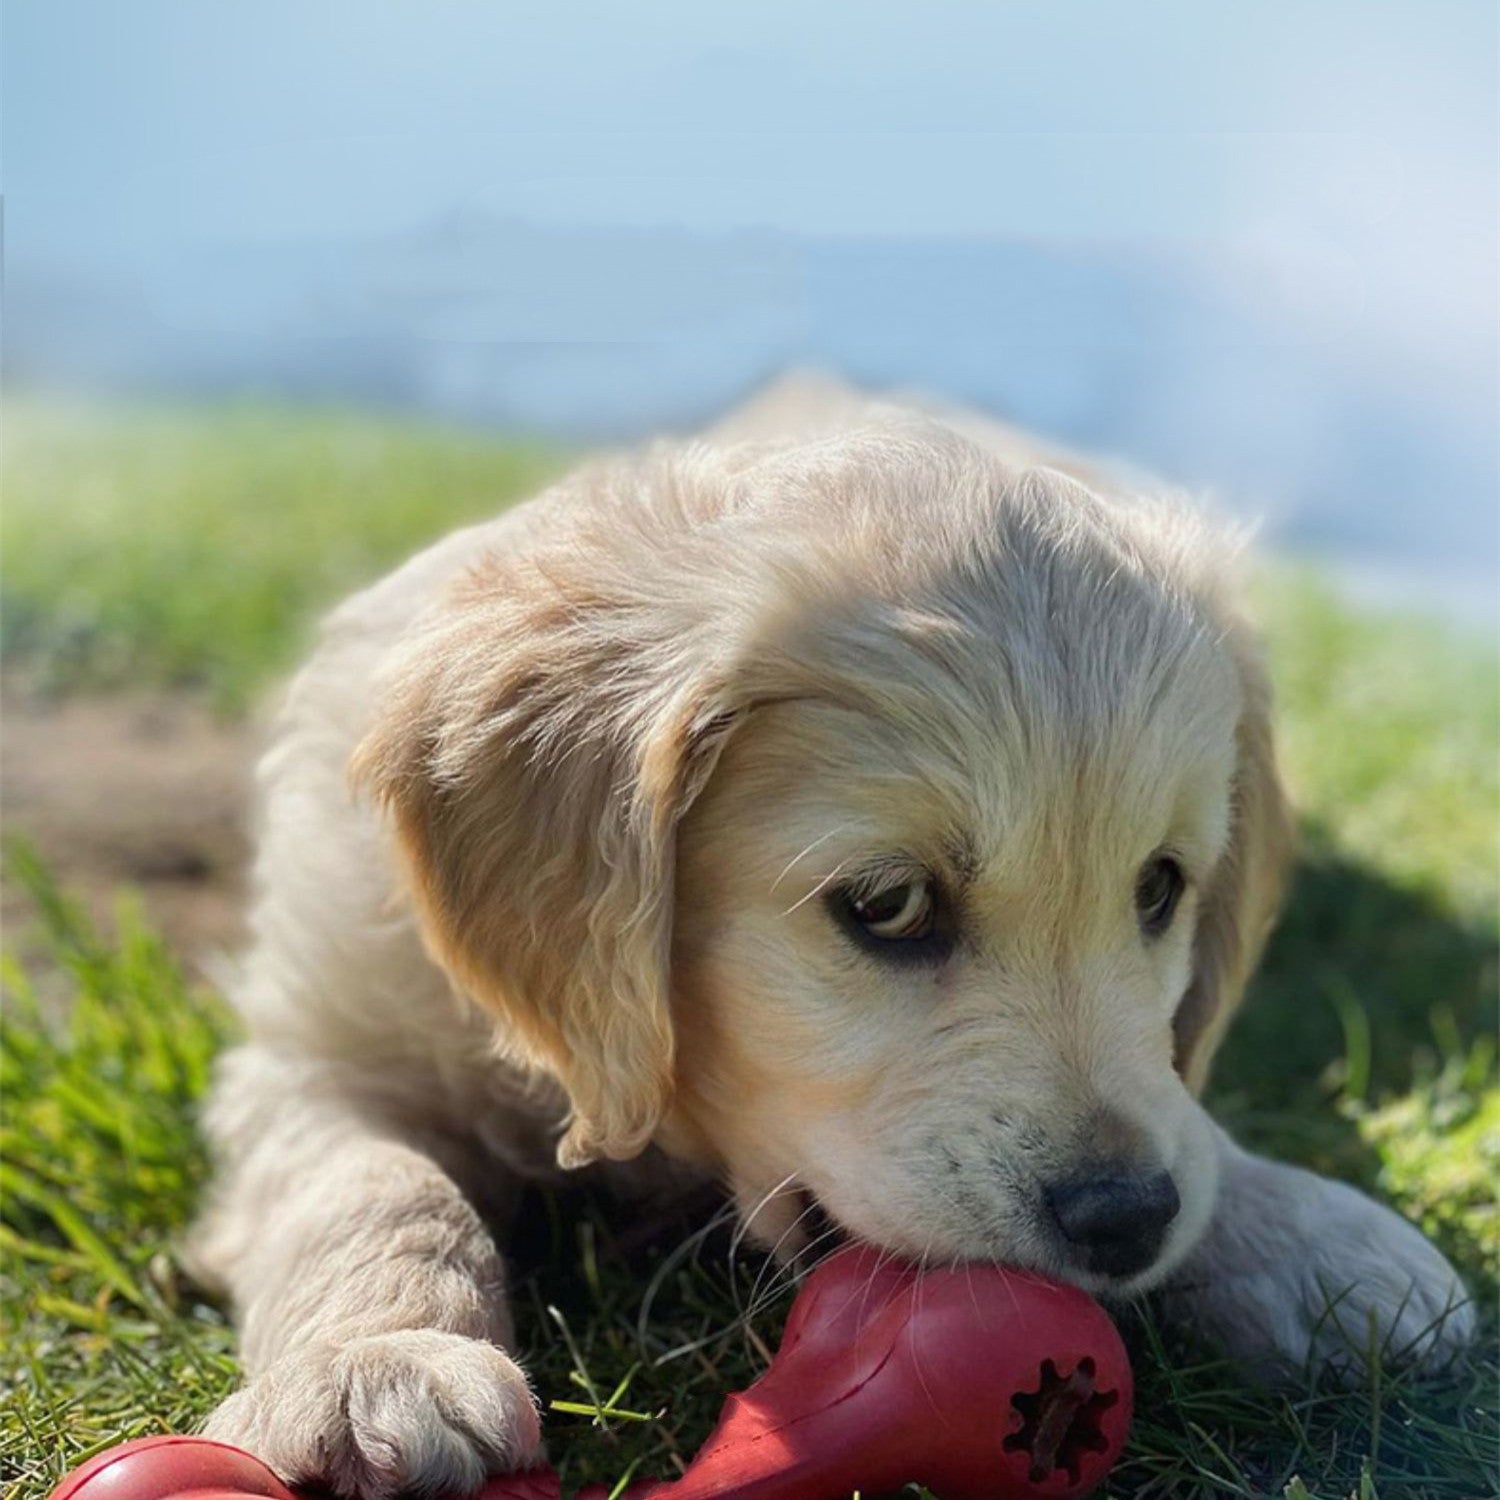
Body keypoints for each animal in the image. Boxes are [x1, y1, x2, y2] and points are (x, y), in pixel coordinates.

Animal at [190, 384, 1476, 1500]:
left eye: (1160, 889)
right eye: (890, 905)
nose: (1125, 1219)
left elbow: (1188, 1120)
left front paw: (1309, 1239)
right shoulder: (319, 1036)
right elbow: (368, 1184)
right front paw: (379, 1368)